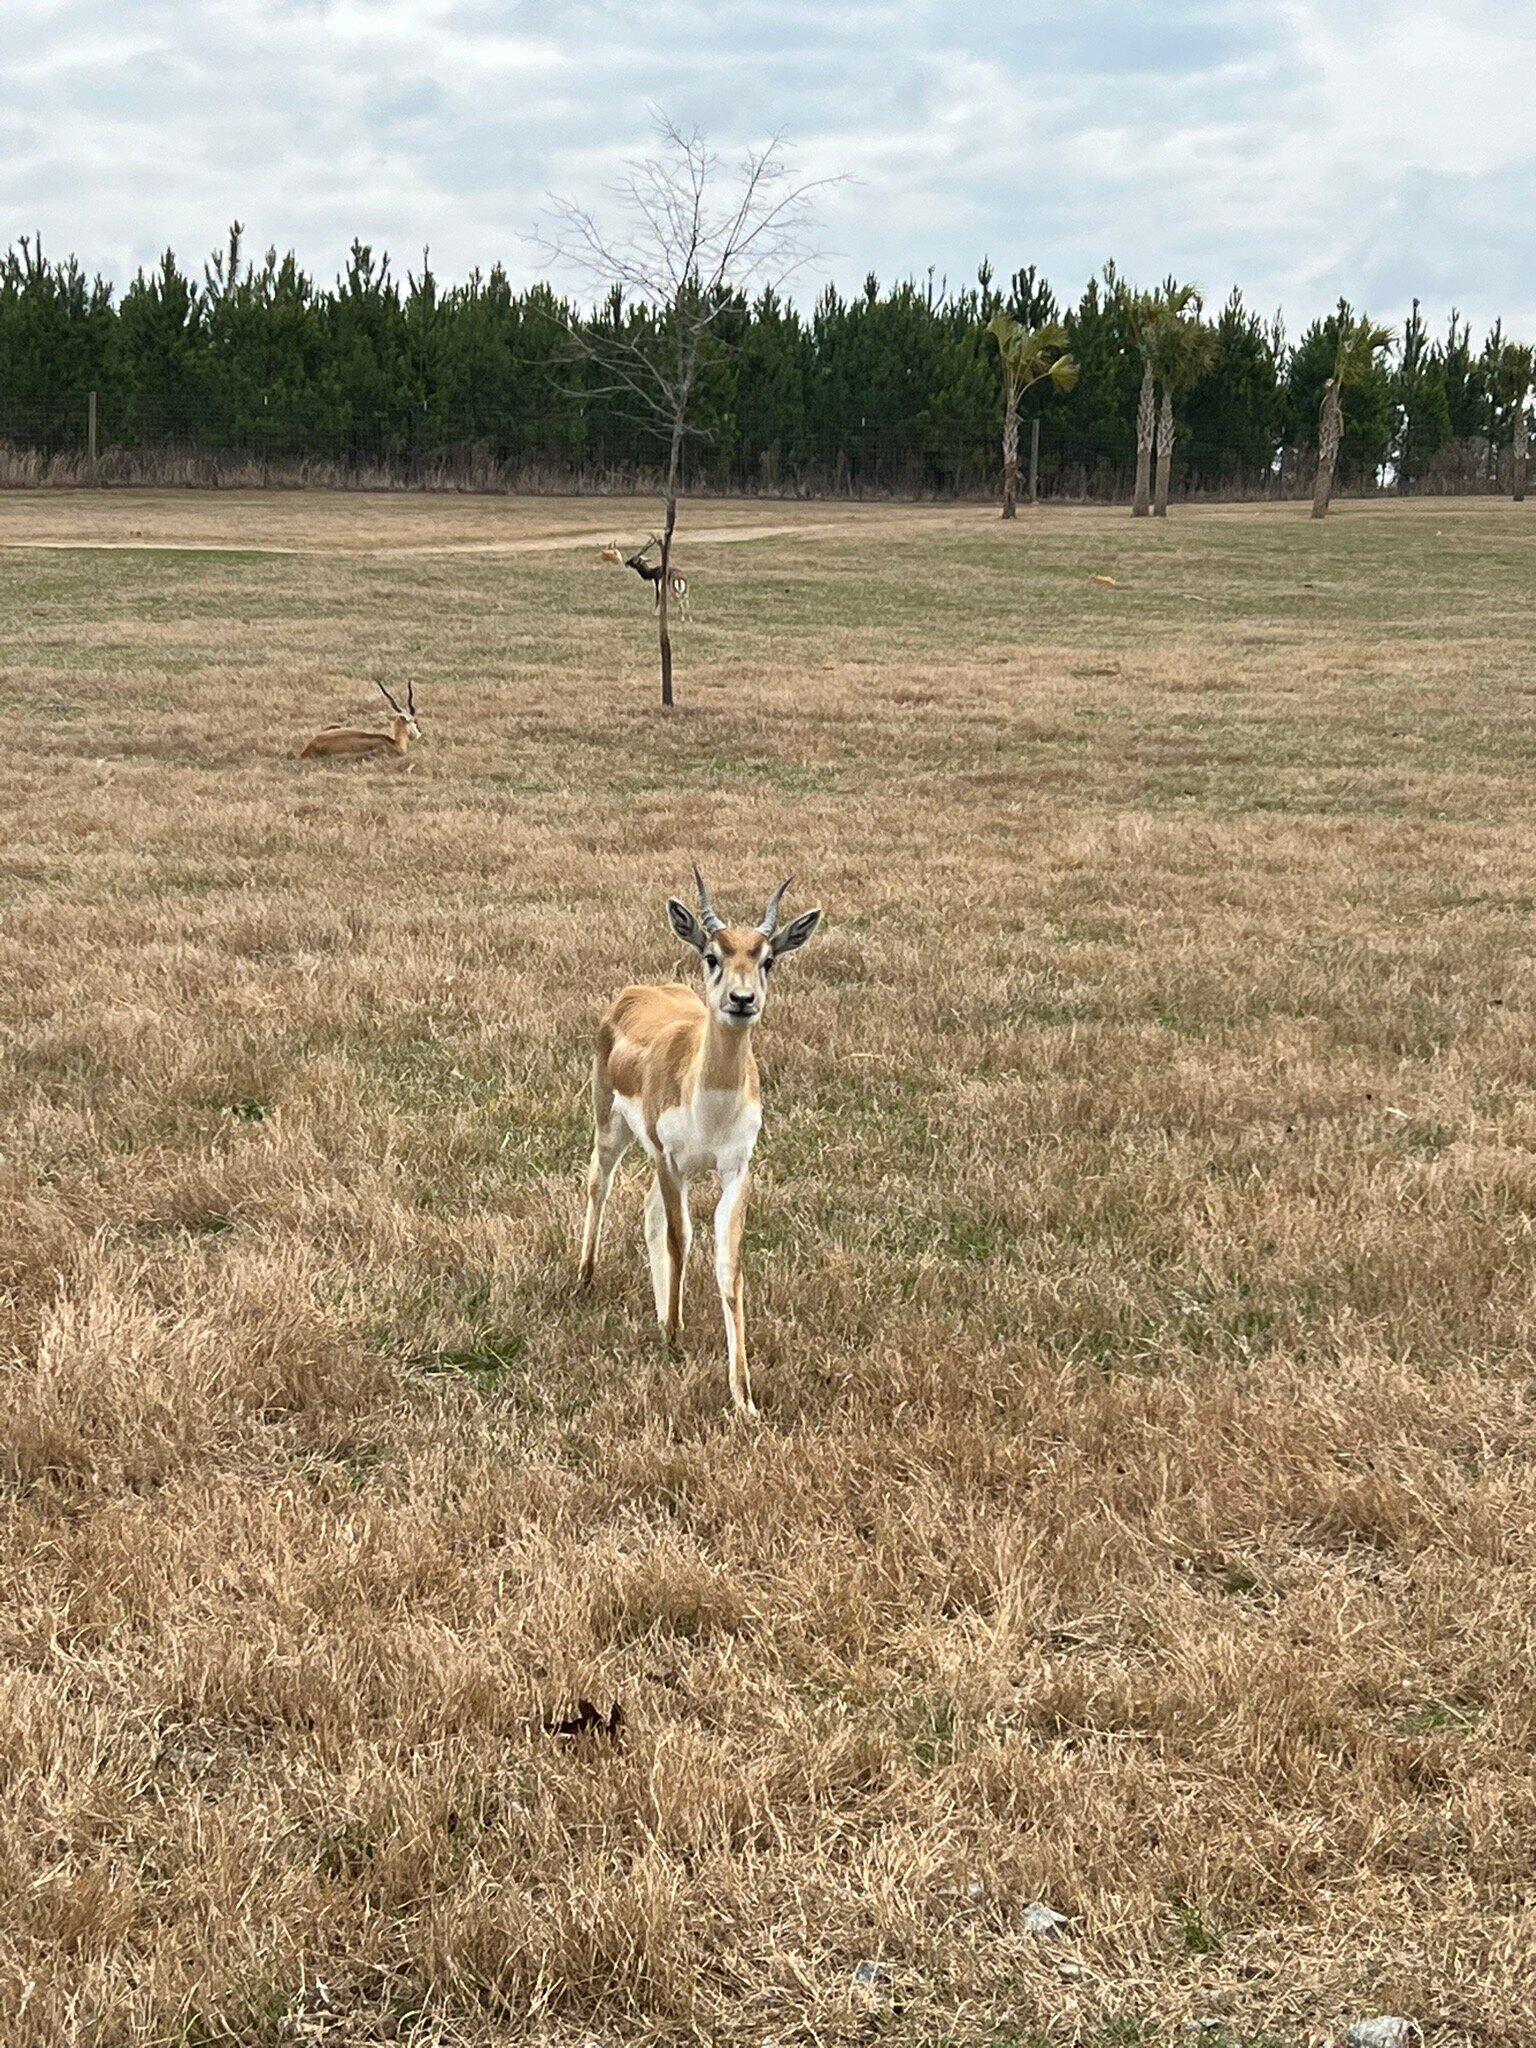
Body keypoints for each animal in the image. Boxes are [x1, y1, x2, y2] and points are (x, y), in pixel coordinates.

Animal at [577, 860, 823, 1409]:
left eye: (768, 960)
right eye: (712, 955)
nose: (741, 1000)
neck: (710, 1105)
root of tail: (635, 993)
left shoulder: (735, 1169)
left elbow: (727, 1265)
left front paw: (743, 1397)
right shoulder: (672, 1160)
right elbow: (680, 1238)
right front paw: (674, 1338)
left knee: (647, 1211)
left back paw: (658, 1312)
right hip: (612, 1126)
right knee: (599, 1183)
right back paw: (583, 1283)